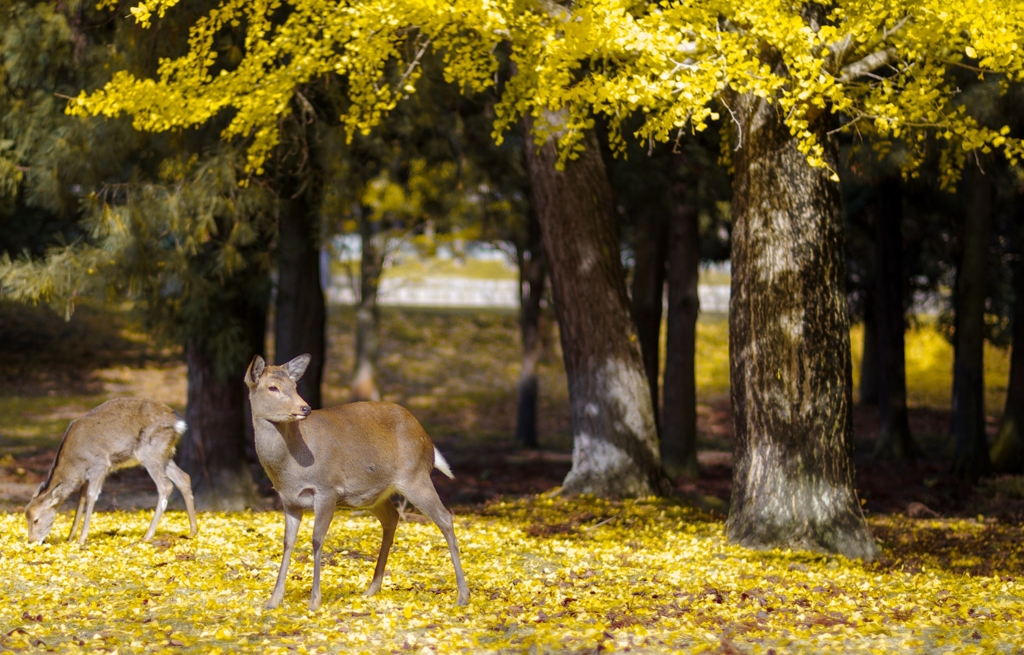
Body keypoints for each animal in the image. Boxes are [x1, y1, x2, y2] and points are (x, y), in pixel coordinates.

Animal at [25, 397, 199, 544]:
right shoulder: (86, 475)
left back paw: (147, 535)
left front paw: (81, 538)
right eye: (26, 516)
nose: (31, 541)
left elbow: (91, 497)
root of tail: (178, 423)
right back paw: (192, 531)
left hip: (149, 452)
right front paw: (70, 537)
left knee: (166, 486)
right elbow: (80, 499)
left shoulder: (99, 465)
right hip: (164, 454)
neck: (75, 465)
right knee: (184, 477)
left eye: (36, 520)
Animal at [245, 352, 468, 609]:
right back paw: (371, 589)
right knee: (392, 518)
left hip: (416, 476)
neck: (289, 466)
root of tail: (428, 441)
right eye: (272, 387)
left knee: (445, 517)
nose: (305, 408)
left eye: (294, 385)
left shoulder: (327, 489)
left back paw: (463, 595)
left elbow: (317, 539)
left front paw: (314, 601)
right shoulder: (289, 499)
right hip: (377, 494)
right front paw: (273, 600)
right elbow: (287, 542)